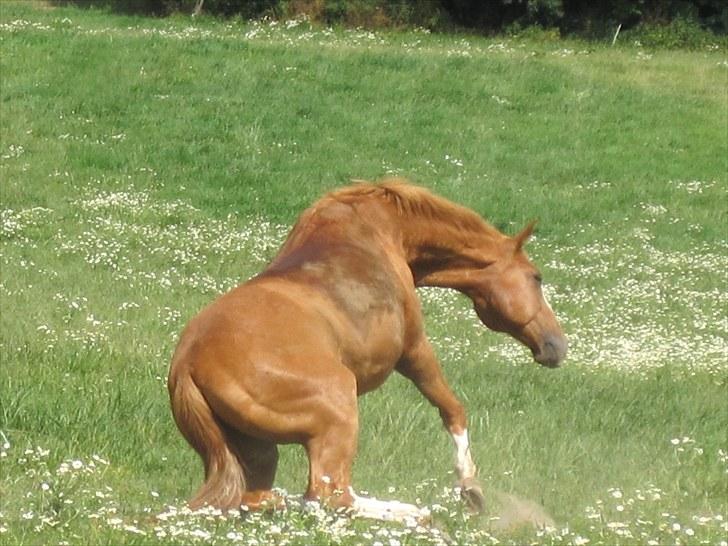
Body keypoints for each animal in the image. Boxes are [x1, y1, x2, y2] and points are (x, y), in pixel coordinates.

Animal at [168, 178, 564, 520]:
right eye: (536, 277)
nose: (558, 345)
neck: (381, 231)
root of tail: (187, 366)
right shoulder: (414, 351)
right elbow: (452, 409)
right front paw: (471, 489)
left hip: (257, 450)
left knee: (259, 498)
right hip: (340, 406)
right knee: (330, 495)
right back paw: (415, 514)